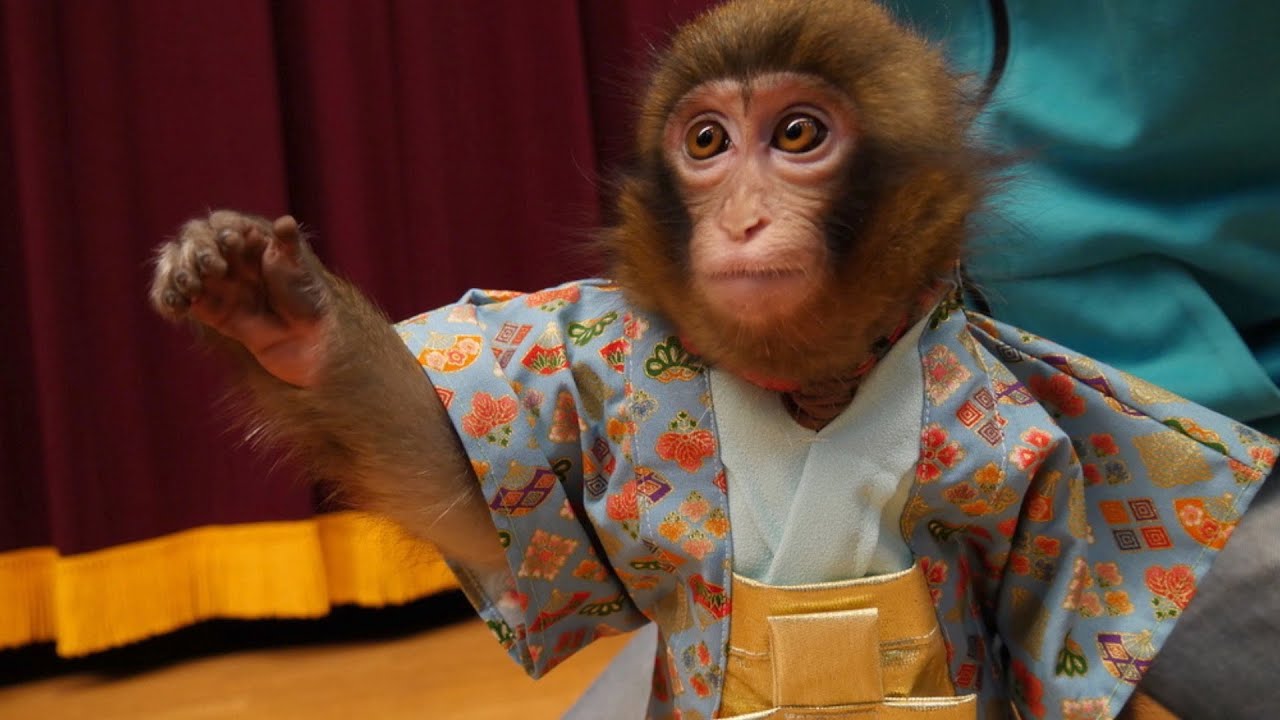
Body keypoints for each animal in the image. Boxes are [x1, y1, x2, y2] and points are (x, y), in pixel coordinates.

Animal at [149, 1, 1274, 718]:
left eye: (796, 133)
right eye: (705, 144)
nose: (740, 220)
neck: (813, 384)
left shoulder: (1058, 431)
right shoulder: (603, 365)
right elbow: (483, 498)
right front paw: (284, 318)